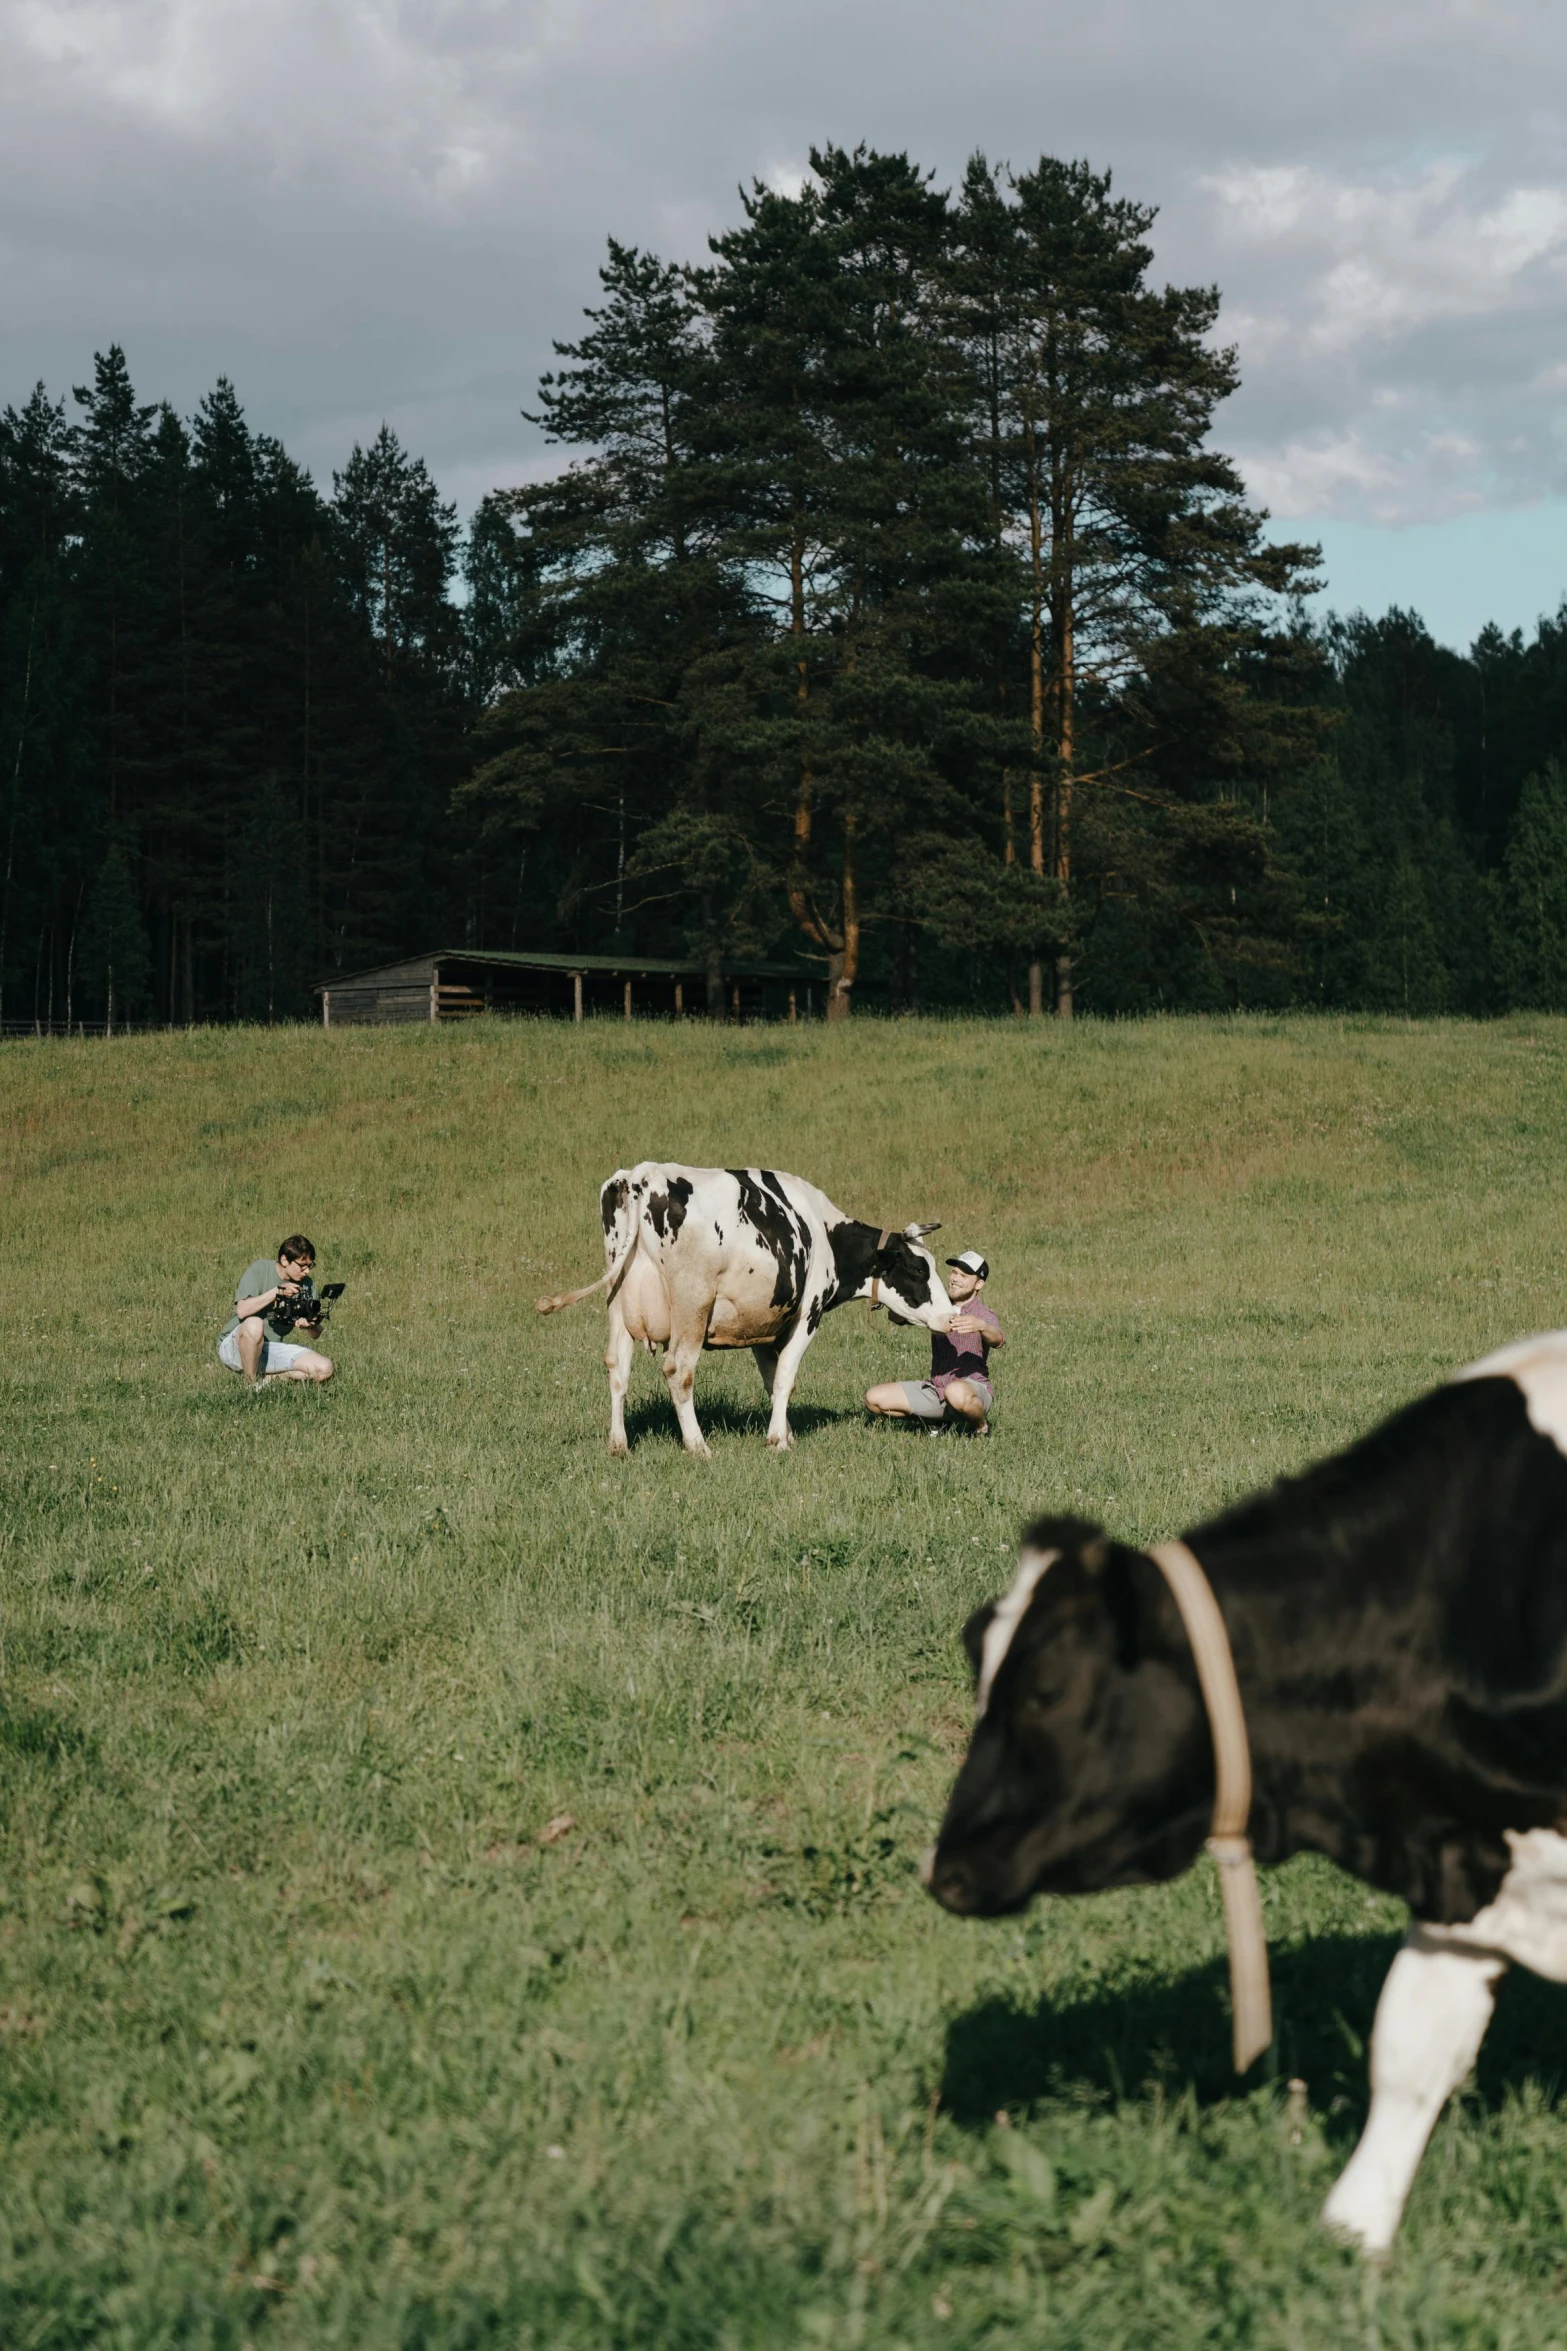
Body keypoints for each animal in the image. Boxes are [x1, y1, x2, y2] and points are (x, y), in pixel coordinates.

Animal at [540, 1156, 958, 1448]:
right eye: (918, 1270)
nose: (951, 1316)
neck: (824, 1232)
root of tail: (643, 1174)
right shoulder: (807, 1315)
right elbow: (786, 1376)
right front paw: (777, 1441)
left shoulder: (763, 1324)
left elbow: (772, 1380)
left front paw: (785, 1433)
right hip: (692, 1305)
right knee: (678, 1370)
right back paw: (698, 1446)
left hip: (618, 1302)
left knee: (616, 1366)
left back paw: (618, 1445)